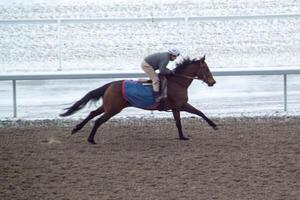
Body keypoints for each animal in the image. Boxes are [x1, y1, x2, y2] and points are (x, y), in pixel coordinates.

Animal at [59, 55, 217, 144]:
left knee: (92, 114)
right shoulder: (180, 105)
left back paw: (77, 129)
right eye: (207, 69)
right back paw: (91, 139)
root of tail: (110, 84)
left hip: (108, 106)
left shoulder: (177, 107)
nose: (213, 82)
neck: (178, 82)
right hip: (113, 109)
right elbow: (196, 114)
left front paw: (183, 136)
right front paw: (213, 125)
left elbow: (185, 120)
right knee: (98, 120)